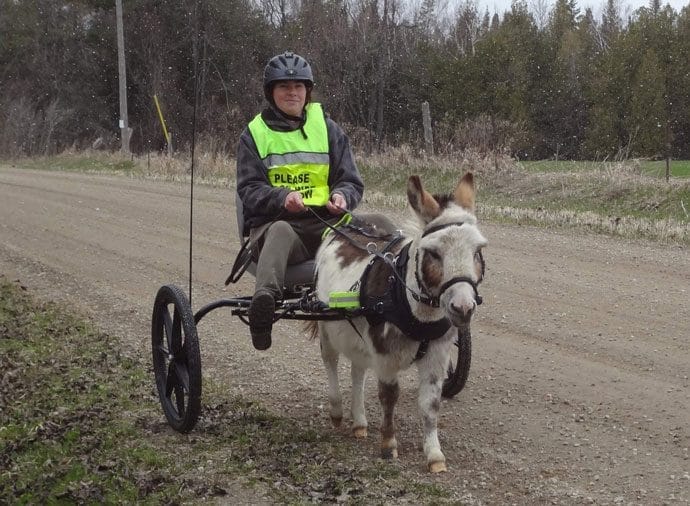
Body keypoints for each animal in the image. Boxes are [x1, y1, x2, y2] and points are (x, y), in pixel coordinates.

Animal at [312, 172, 487, 472]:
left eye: (477, 251)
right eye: (434, 253)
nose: (463, 308)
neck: (415, 309)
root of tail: (342, 228)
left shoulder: (437, 356)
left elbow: (430, 404)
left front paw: (434, 455)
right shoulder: (385, 355)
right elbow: (389, 396)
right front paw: (388, 445)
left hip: (358, 336)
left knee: (357, 370)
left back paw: (359, 423)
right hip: (327, 326)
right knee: (331, 362)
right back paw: (336, 412)